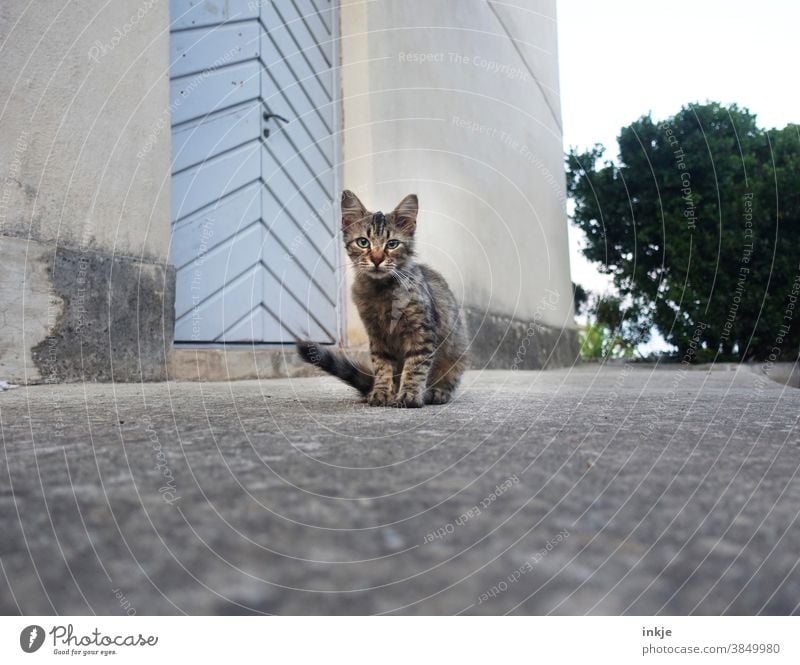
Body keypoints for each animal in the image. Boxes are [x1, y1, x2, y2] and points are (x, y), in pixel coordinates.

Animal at [296, 187, 466, 404]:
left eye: (392, 244)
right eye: (363, 242)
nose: (377, 259)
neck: (381, 293)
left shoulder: (422, 331)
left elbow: (415, 367)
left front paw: (410, 394)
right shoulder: (377, 335)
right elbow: (382, 366)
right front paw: (382, 393)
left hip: (456, 354)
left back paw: (436, 392)